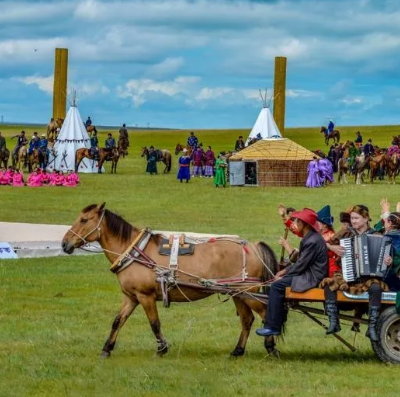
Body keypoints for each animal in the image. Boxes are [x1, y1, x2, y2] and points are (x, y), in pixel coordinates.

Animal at [61, 203, 278, 358]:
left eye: (84, 220)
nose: (64, 244)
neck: (135, 253)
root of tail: (253, 246)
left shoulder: (145, 296)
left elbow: (154, 323)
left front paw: (162, 348)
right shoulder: (131, 297)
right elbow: (117, 321)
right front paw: (107, 348)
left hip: (247, 293)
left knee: (265, 315)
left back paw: (271, 348)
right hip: (237, 294)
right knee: (247, 319)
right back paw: (238, 351)